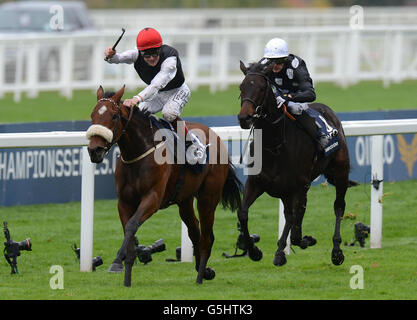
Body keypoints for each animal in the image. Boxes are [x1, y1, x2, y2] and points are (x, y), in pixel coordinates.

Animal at [85, 85, 240, 288]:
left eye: (114, 116)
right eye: (92, 115)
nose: (94, 150)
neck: (139, 153)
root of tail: (216, 136)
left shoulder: (153, 198)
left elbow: (132, 225)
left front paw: (117, 262)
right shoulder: (124, 202)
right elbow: (129, 231)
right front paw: (126, 278)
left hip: (208, 197)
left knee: (207, 237)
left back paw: (200, 277)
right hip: (184, 200)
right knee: (195, 231)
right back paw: (204, 270)